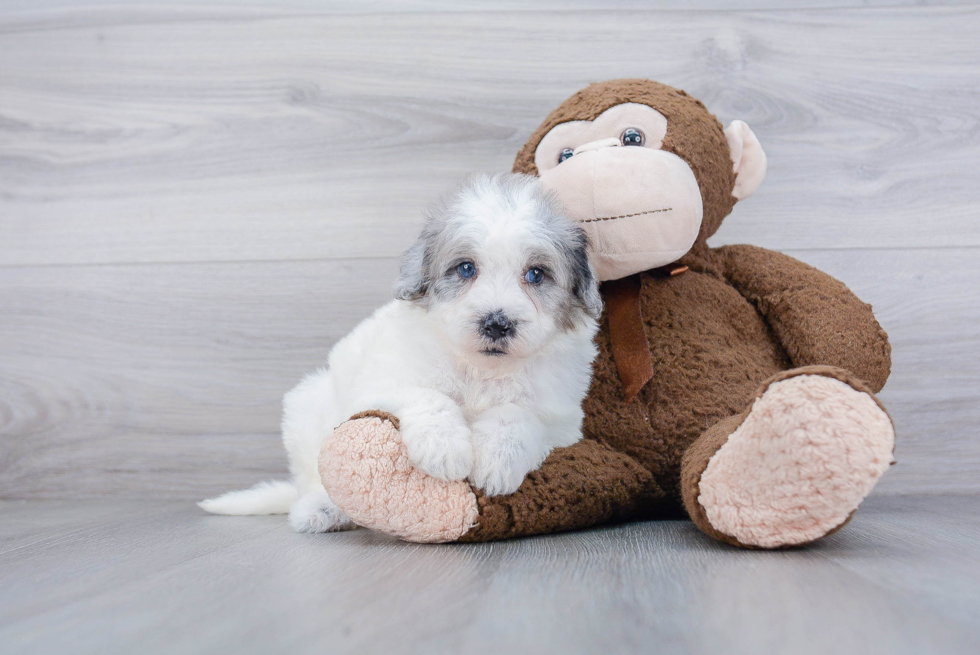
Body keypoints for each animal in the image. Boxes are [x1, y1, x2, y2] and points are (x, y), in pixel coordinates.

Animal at [202, 173, 600, 532]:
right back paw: (321, 510)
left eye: (536, 274)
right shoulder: (380, 383)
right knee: (315, 477)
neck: (479, 369)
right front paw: (444, 449)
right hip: (308, 409)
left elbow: (518, 415)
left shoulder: (561, 420)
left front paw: (496, 460)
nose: (497, 323)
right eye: (466, 268)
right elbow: (427, 396)